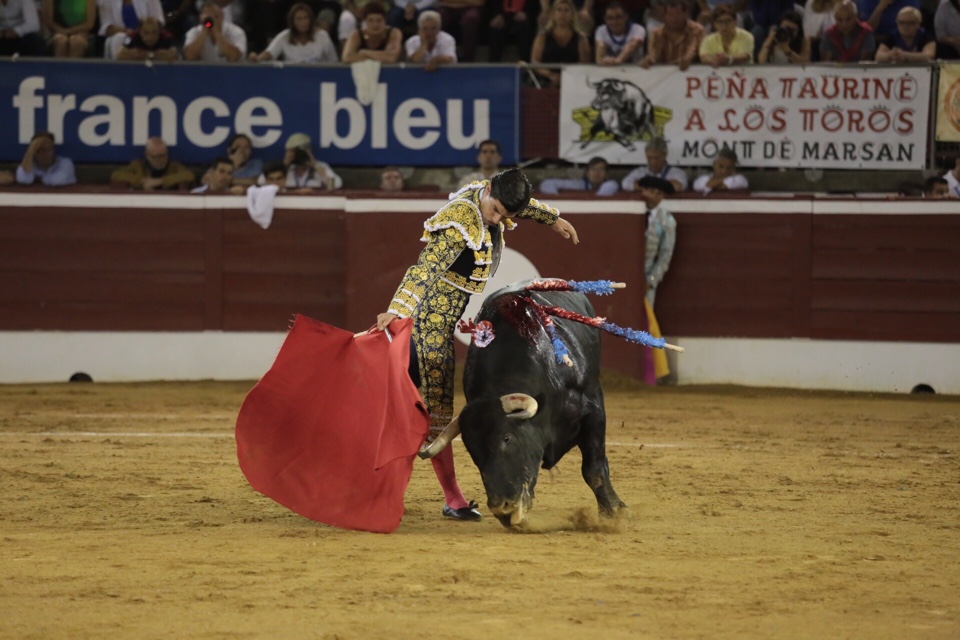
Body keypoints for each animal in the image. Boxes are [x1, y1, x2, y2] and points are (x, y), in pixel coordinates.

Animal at [420, 282, 624, 528]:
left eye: (507, 438)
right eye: (471, 448)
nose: (502, 509)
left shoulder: (593, 410)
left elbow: (594, 469)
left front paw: (612, 513)